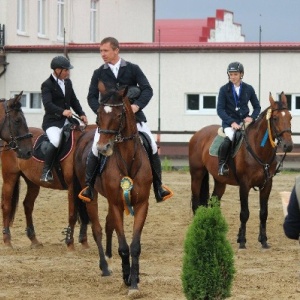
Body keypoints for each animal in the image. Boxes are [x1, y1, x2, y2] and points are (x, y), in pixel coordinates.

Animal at [73, 83, 152, 294]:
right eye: (99, 114)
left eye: (118, 115)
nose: (102, 148)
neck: (128, 159)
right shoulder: (116, 203)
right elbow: (123, 246)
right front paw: (127, 278)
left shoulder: (142, 204)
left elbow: (135, 246)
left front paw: (135, 281)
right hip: (91, 196)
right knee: (98, 230)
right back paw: (104, 266)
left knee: (108, 225)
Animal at [190, 92, 292, 250]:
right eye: (275, 118)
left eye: (290, 117)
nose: (288, 145)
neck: (258, 149)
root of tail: (198, 134)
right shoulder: (244, 185)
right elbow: (244, 213)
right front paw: (242, 241)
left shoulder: (267, 185)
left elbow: (264, 213)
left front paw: (263, 240)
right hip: (197, 175)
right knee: (196, 203)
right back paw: (199, 230)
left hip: (220, 181)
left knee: (214, 203)